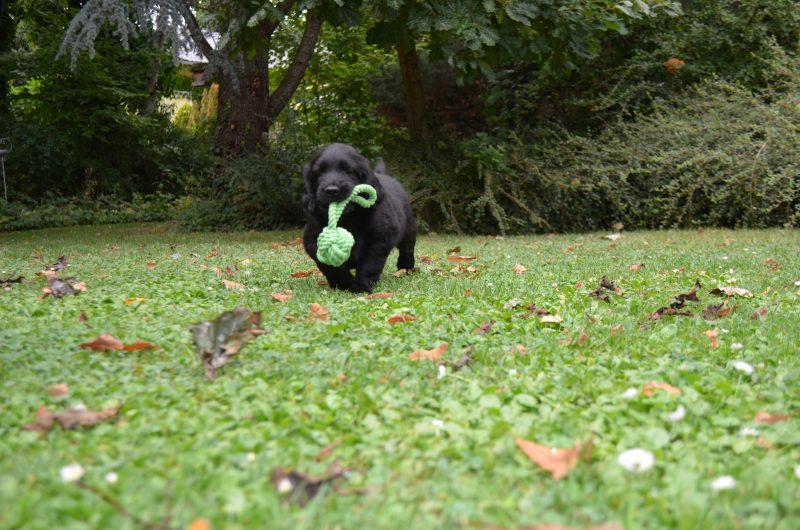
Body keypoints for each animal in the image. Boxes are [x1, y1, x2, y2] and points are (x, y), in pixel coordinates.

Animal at [302, 143, 416, 293]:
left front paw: (360, 287)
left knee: (407, 249)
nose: (332, 190)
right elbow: (330, 265)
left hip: (409, 230)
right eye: (318, 173)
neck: (348, 218)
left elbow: (369, 265)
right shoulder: (313, 240)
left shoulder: (379, 239)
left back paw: (405, 268)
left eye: (348, 170)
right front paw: (344, 283)